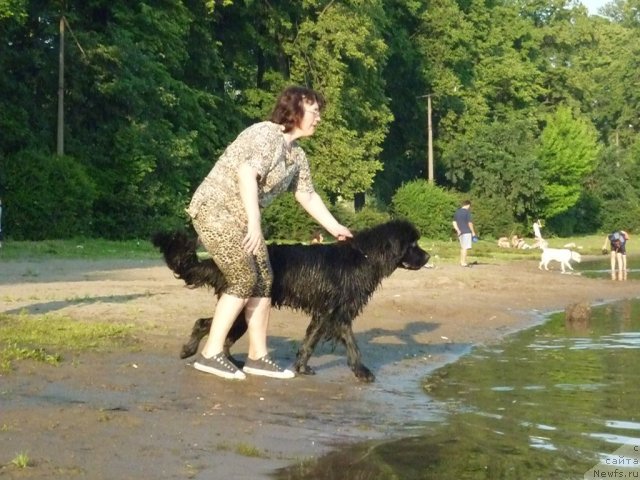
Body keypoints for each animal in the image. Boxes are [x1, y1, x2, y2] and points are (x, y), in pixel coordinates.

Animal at [152, 220, 428, 382]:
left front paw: (304, 367)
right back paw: (191, 350)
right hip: (243, 306)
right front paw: (361, 372)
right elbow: (342, 342)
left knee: (222, 332)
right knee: (205, 323)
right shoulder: (333, 312)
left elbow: (318, 342)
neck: (365, 256)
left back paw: (232, 361)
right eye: (413, 244)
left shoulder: (331, 313)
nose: (426, 257)